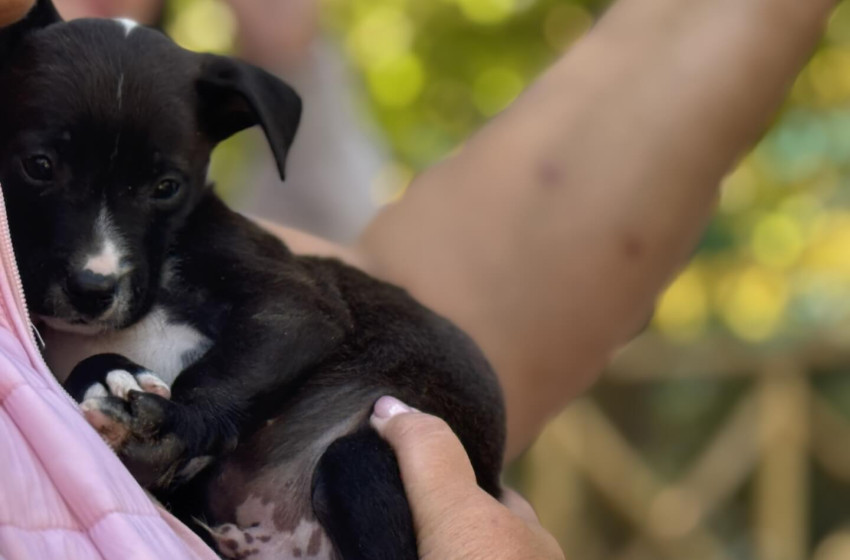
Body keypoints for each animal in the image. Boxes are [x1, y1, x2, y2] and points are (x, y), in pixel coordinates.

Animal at [0, 2, 504, 556]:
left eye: (166, 187)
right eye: (39, 166)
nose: (94, 288)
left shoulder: (295, 304)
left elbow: (224, 368)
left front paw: (172, 427)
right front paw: (110, 376)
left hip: (358, 460)